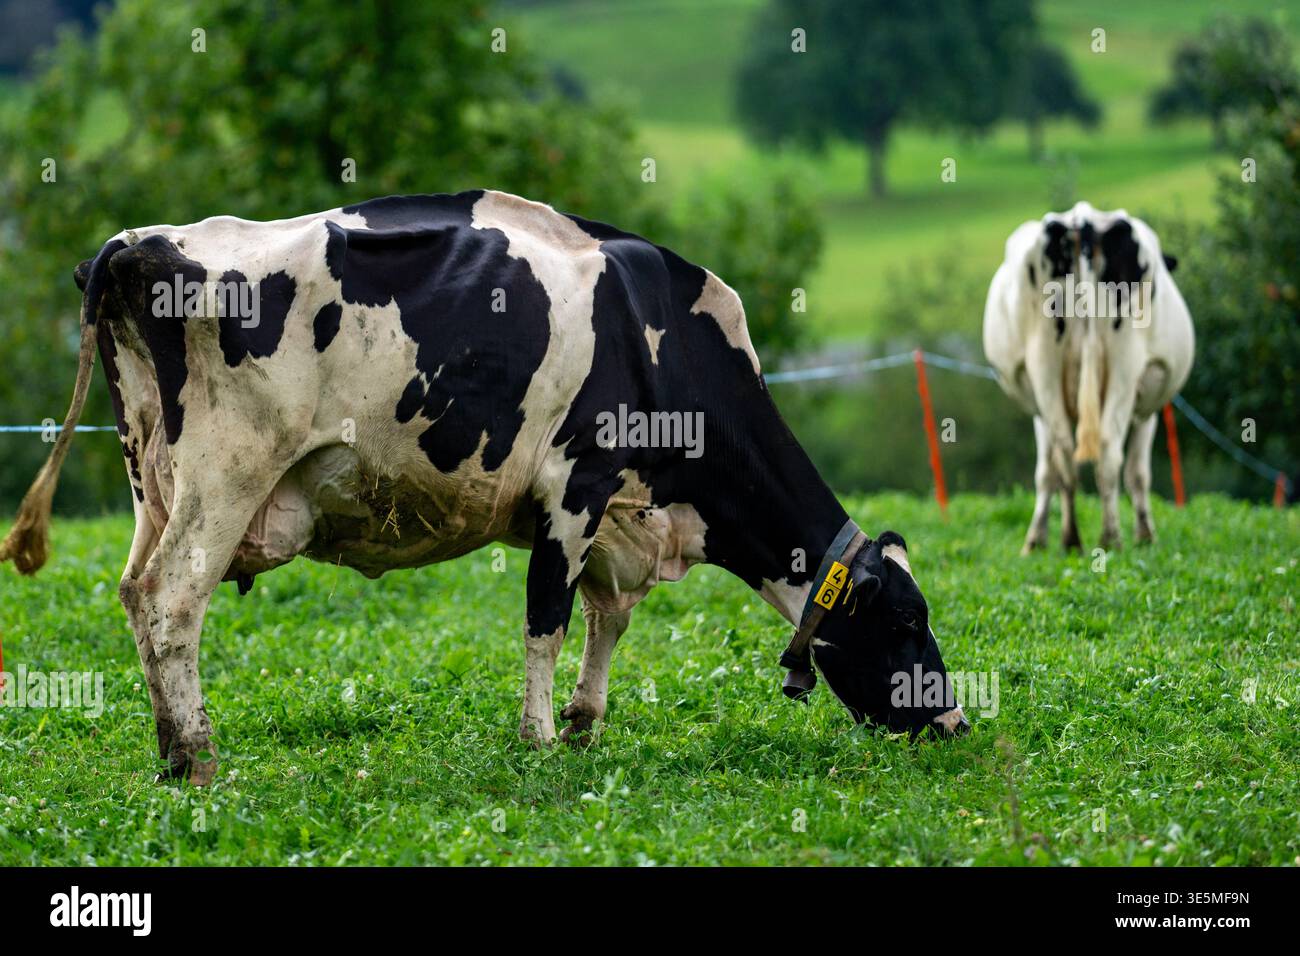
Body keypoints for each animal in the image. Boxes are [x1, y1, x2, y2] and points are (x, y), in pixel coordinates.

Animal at [1, 190, 967, 785]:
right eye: (905, 620)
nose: (955, 722)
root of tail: (137, 242)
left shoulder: (619, 515)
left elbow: (606, 619)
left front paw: (584, 722)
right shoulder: (576, 483)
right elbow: (549, 616)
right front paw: (540, 739)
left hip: (152, 478)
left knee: (135, 592)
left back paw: (168, 746)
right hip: (226, 472)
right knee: (172, 600)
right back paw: (196, 754)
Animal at [983, 201, 1195, 554]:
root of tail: (1083, 219)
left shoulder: (1040, 408)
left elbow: (1046, 471)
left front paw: (1036, 539)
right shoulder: (1146, 409)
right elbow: (1138, 473)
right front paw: (1146, 535)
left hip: (1044, 365)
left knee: (1065, 455)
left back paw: (1072, 539)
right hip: (1125, 363)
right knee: (1108, 450)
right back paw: (1110, 538)